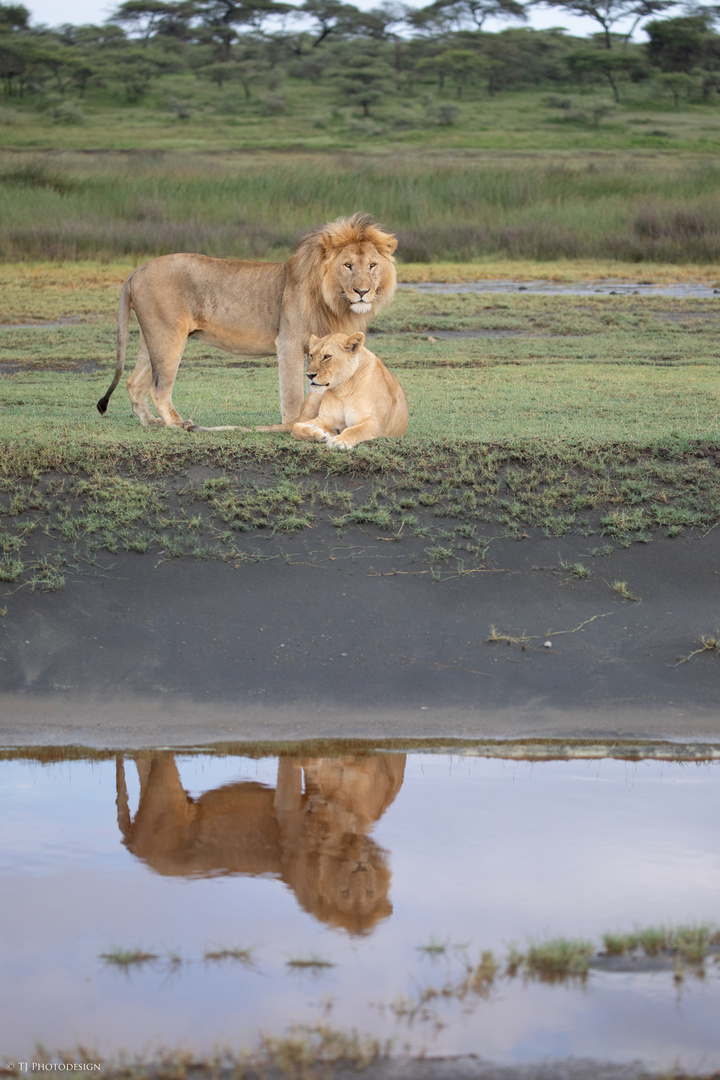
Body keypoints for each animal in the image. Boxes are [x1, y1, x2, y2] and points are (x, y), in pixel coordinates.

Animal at [94, 210, 399, 429]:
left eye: (372, 265)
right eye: (348, 266)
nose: (362, 292)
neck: (334, 300)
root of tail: (138, 269)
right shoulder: (288, 343)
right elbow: (292, 393)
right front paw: (291, 426)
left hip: (153, 338)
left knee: (135, 383)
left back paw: (151, 423)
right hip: (168, 338)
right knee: (158, 389)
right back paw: (177, 424)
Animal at [255, 328, 408, 447]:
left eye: (327, 356)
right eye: (311, 355)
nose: (309, 375)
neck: (343, 390)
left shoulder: (374, 423)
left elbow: (354, 430)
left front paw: (339, 441)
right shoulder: (325, 419)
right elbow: (296, 427)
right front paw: (320, 434)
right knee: (295, 423)